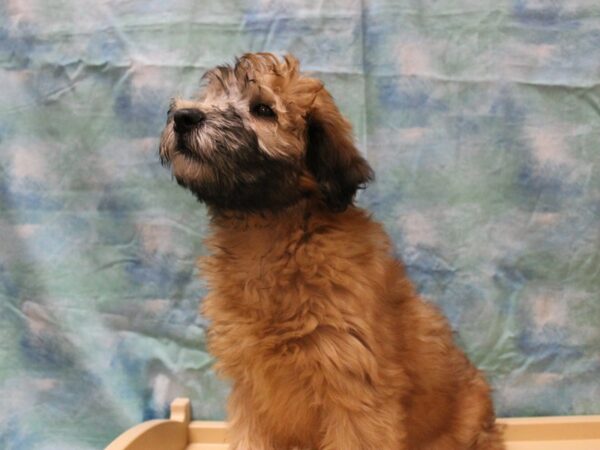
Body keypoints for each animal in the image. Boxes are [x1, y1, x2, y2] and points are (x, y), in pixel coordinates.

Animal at [161, 53, 506, 450]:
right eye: (210, 97)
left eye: (263, 109)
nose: (184, 116)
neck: (272, 234)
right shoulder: (253, 395)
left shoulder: (353, 389)